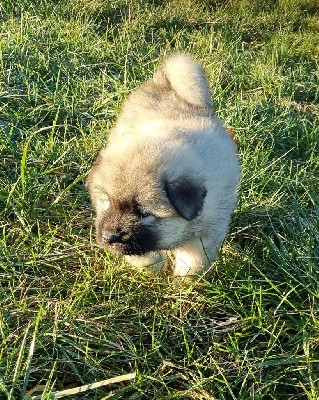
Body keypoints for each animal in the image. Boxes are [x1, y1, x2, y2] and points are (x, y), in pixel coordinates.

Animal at [86, 54, 241, 278]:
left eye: (144, 214)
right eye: (106, 202)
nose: (108, 237)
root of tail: (164, 83)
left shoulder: (205, 234)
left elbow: (193, 263)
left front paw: (184, 282)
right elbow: (143, 255)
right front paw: (154, 267)